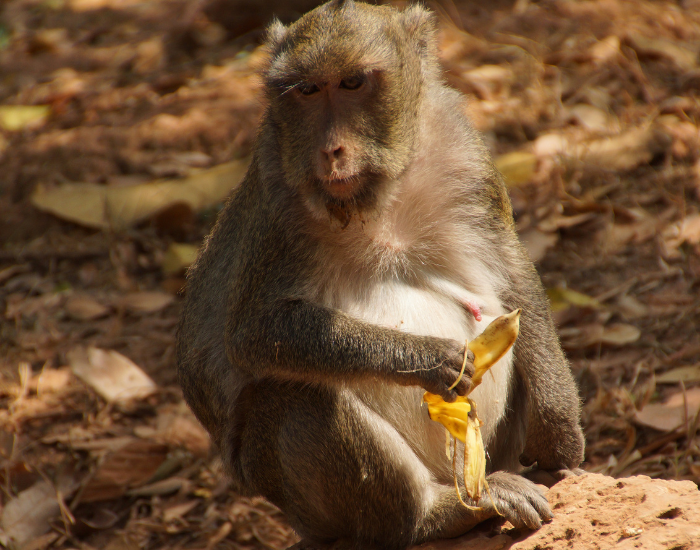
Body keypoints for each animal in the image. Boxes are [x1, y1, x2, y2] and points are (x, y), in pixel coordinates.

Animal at [176, 1, 585, 549]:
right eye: (307, 91)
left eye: (352, 83)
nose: (330, 150)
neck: (378, 195)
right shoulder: (277, 198)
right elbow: (255, 332)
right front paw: (432, 359)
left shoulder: (465, 152)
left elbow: (511, 271)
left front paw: (558, 428)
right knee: (293, 397)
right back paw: (436, 514)